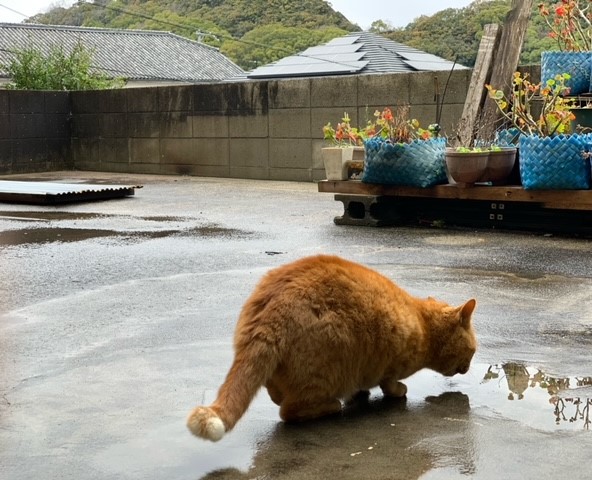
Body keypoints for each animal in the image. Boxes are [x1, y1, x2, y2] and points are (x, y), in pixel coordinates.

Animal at [188, 255, 476, 442]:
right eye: (473, 352)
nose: (469, 368)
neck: (422, 324)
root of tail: (271, 310)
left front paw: (360, 393)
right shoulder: (390, 364)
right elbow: (390, 384)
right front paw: (393, 392)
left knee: (276, 395)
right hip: (327, 367)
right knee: (289, 410)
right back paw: (331, 405)